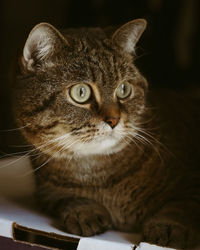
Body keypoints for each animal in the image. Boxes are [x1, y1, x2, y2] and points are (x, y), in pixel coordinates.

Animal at [12, 18, 200, 249]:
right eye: (81, 92)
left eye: (124, 89)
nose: (113, 120)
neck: (96, 174)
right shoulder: (45, 191)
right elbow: (65, 197)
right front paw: (85, 211)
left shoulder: (191, 179)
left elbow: (183, 205)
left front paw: (170, 226)